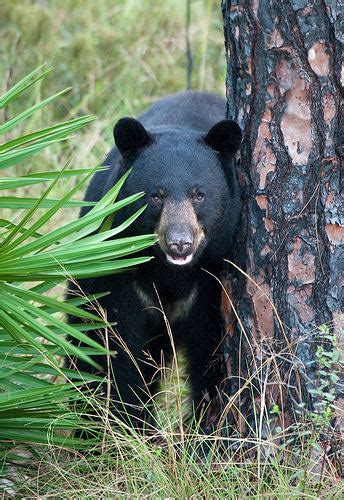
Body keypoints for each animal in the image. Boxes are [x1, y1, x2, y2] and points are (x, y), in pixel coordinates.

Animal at [68, 92, 242, 432]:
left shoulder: (211, 280)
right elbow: (113, 348)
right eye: (156, 195)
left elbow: (210, 356)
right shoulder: (116, 271)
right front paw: (123, 427)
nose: (179, 242)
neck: (168, 272)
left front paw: (204, 428)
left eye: (199, 194)